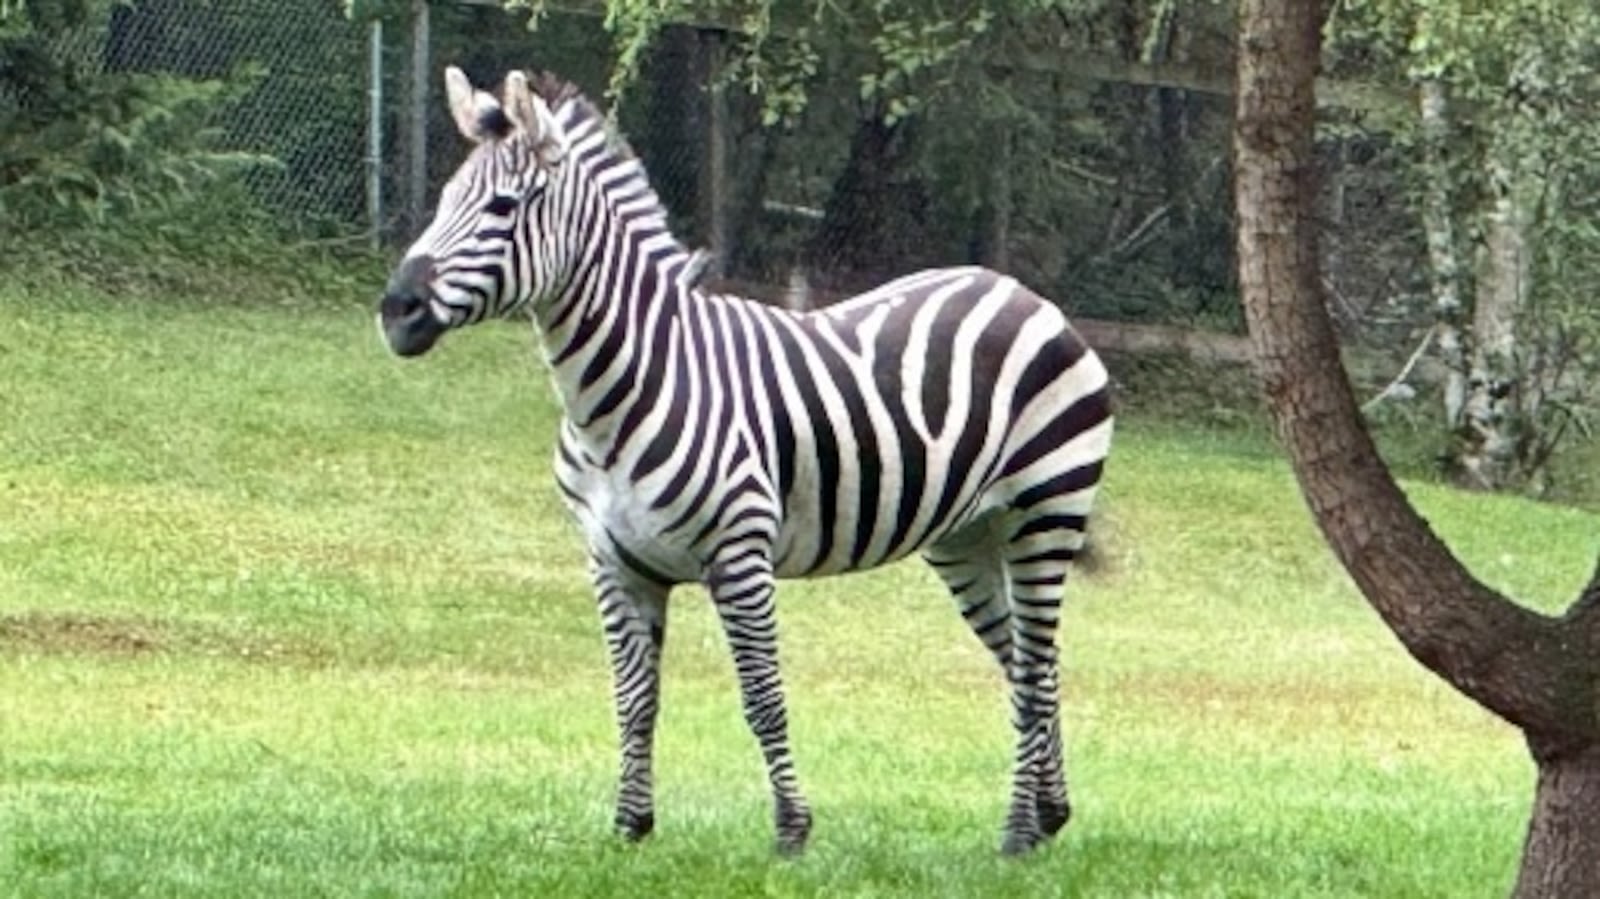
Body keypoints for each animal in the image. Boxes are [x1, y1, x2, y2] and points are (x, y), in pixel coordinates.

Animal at [374, 64, 1113, 851]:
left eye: (503, 206)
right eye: (444, 202)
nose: (396, 311)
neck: (622, 392)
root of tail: (1021, 291)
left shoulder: (739, 554)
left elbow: (762, 698)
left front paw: (791, 831)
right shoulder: (614, 564)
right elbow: (633, 699)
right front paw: (631, 827)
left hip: (1046, 512)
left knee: (1034, 668)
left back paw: (1017, 834)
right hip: (966, 535)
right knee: (1027, 662)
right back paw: (1049, 814)